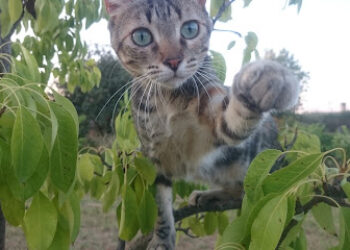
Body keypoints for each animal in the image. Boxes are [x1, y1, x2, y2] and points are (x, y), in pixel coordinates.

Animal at [105, 0, 300, 249]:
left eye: (190, 29)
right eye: (141, 36)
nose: (173, 60)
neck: (169, 98)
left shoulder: (216, 119)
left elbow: (234, 118)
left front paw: (267, 80)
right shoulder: (153, 155)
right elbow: (160, 205)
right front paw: (162, 237)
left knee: (247, 192)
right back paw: (207, 195)